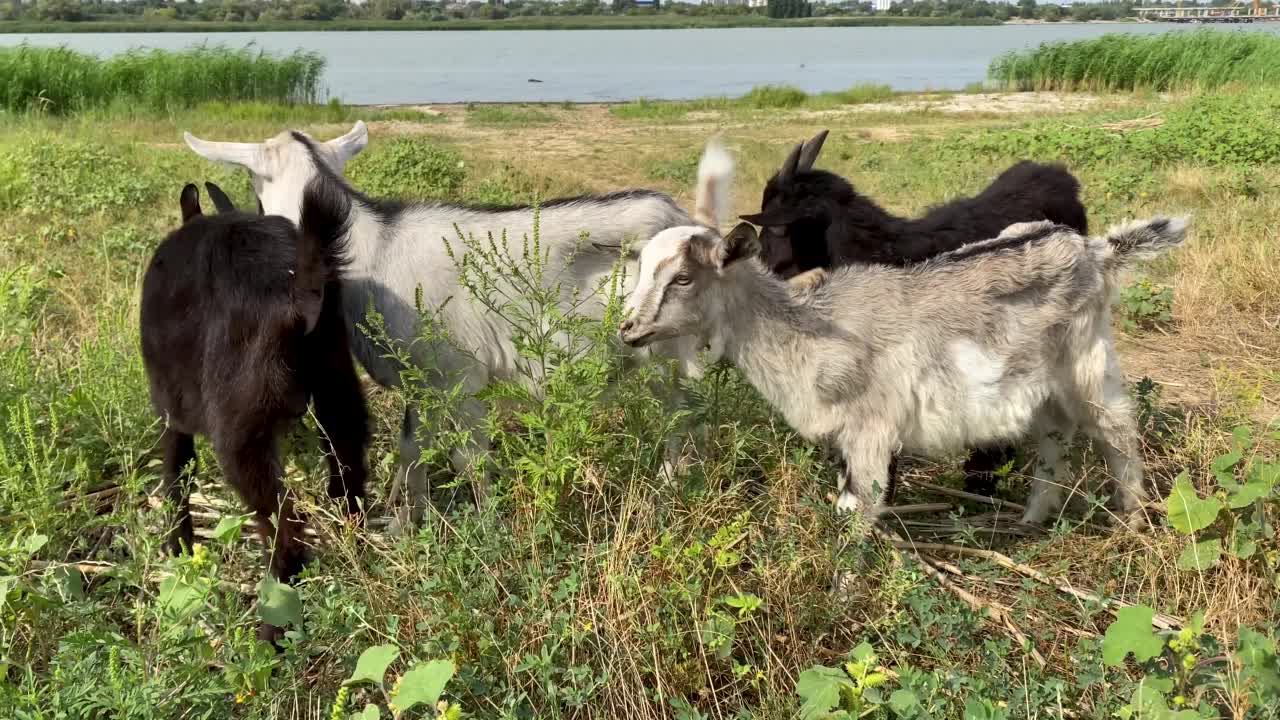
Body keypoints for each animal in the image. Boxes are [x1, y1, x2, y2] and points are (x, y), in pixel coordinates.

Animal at [142, 178, 368, 638]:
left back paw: (271, 632)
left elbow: (175, 477)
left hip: (241, 442)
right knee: (347, 475)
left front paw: (178, 549)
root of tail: (298, 287)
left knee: (287, 535)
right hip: (338, 391)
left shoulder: (172, 412)